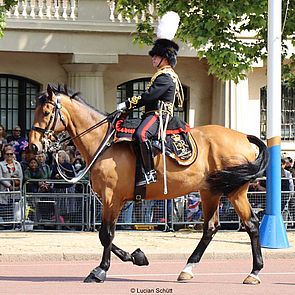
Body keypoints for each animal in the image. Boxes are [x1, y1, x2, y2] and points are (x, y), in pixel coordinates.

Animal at [29, 83, 270, 284]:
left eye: (47, 112)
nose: (33, 146)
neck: (103, 142)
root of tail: (243, 136)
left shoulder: (111, 197)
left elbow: (105, 234)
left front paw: (100, 270)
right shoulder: (109, 200)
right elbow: (105, 235)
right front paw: (136, 256)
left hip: (235, 191)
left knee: (251, 224)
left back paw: (254, 272)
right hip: (210, 192)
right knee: (210, 228)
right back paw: (188, 269)